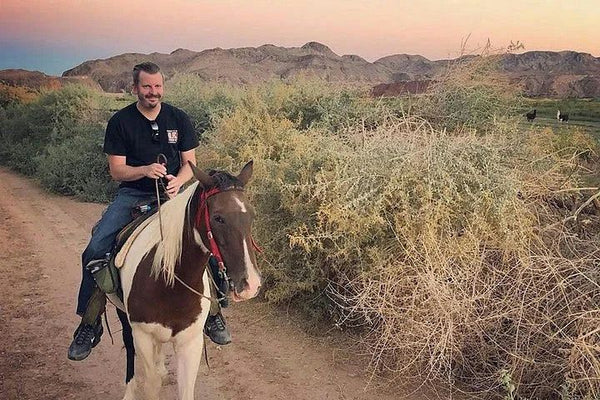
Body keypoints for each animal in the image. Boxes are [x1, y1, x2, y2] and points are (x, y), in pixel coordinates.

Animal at [112, 161, 260, 398]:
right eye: (218, 217)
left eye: (252, 216)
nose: (250, 284)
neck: (169, 285)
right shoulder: (142, 335)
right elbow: (151, 383)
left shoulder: (190, 343)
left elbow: (185, 390)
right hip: (124, 317)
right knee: (129, 349)